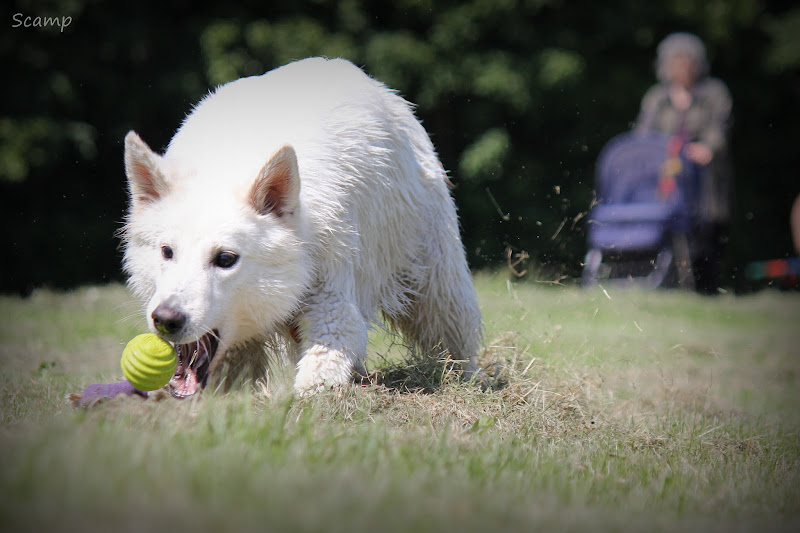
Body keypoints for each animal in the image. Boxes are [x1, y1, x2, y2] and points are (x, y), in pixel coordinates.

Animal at [120, 57, 482, 394]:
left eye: (225, 259)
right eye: (167, 252)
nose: (166, 319)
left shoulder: (333, 298)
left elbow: (321, 367)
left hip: (433, 282)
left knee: (454, 332)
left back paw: (469, 377)